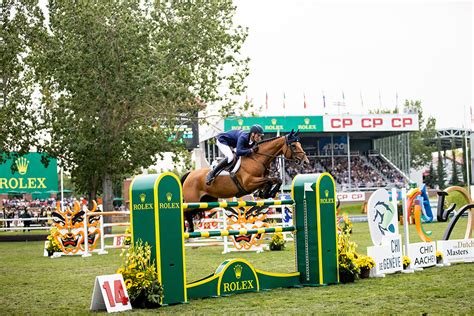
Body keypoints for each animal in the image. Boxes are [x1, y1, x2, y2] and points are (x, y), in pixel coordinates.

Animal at [181, 130, 312, 231]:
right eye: (293, 146)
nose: (306, 162)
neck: (257, 159)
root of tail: (189, 175)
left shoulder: (259, 181)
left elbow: (275, 180)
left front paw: (266, 193)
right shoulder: (249, 183)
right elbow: (271, 180)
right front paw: (267, 193)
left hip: (206, 202)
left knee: (191, 212)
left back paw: (190, 229)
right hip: (192, 201)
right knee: (185, 211)